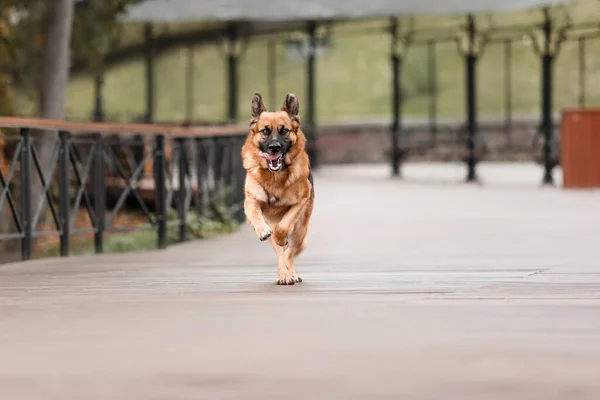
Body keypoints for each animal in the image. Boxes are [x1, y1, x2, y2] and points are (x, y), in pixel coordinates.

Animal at [240, 92, 314, 284]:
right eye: (265, 131)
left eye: (284, 130)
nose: (274, 147)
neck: (274, 177)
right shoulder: (251, 201)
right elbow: (257, 217)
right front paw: (263, 230)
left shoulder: (300, 202)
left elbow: (283, 227)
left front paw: (280, 236)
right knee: (281, 253)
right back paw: (284, 275)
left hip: (300, 231)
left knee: (289, 252)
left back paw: (290, 273)